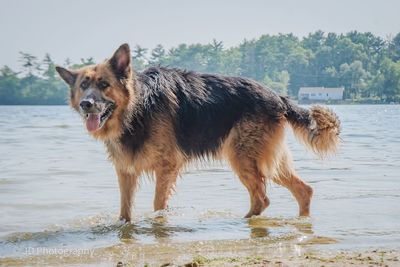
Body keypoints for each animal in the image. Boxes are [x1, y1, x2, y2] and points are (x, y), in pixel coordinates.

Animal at [54, 45, 340, 223]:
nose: (86, 104)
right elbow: (125, 211)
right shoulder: (126, 171)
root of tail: (278, 96)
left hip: (242, 156)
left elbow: (158, 204)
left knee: (262, 198)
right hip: (268, 160)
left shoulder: (167, 166)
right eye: (83, 86)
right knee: (303, 190)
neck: (136, 109)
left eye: (104, 84)